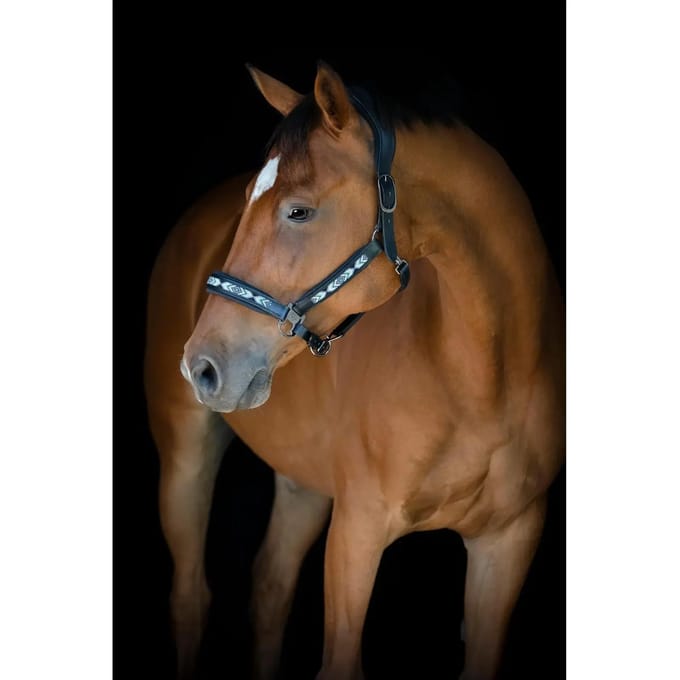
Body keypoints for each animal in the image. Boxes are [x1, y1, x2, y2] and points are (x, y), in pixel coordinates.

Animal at [144, 60, 565, 680]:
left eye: (299, 210)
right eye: (250, 200)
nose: (201, 365)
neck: (484, 381)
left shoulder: (508, 541)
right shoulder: (357, 533)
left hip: (302, 480)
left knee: (269, 589)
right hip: (185, 458)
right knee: (190, 596)